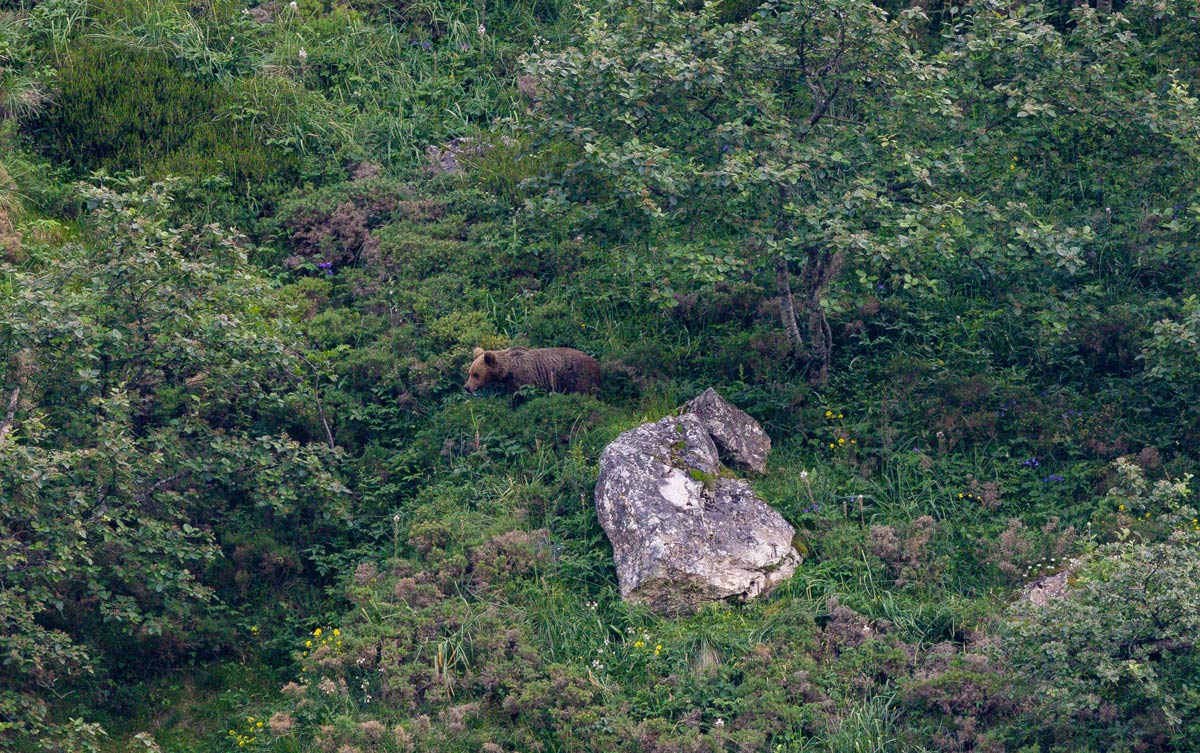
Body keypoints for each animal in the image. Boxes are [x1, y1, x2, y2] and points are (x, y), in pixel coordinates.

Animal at [465, 345, 600, 393]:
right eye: (469, 373)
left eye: (476, 374)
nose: (466, 387)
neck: (508, 370)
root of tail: (596, 362)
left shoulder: (525, 377)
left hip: (577, 375)